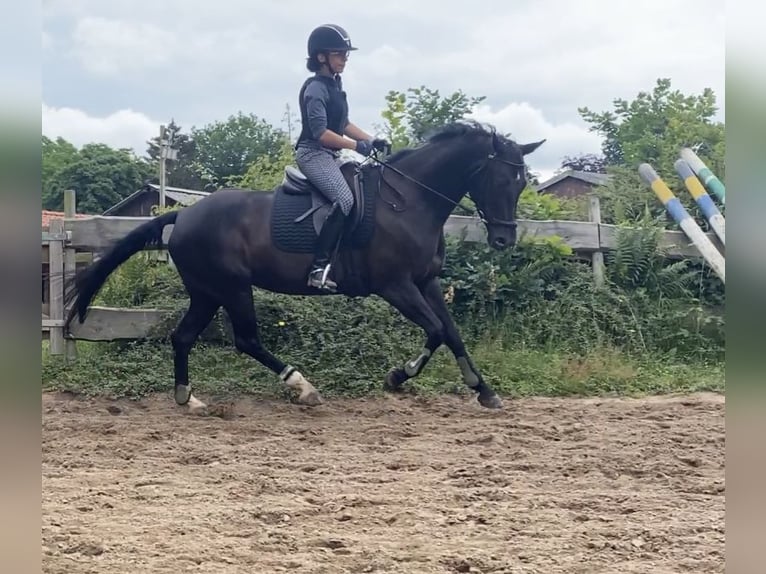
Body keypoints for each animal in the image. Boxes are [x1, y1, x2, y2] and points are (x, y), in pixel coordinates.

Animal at [65, 120, 544, 412]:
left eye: (521, 181)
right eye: (502, 179)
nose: (504, 240)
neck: (409, 200)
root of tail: (181, 216)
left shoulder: (425, 282)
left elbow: (452, 332)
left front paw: (484, 391)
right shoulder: (395, 286)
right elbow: (437, 331)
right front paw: (396, 377)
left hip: (207, 292)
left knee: (183, 337)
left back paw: (188, 398)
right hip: (232, 288)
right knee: (247, 340)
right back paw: (302, 387)